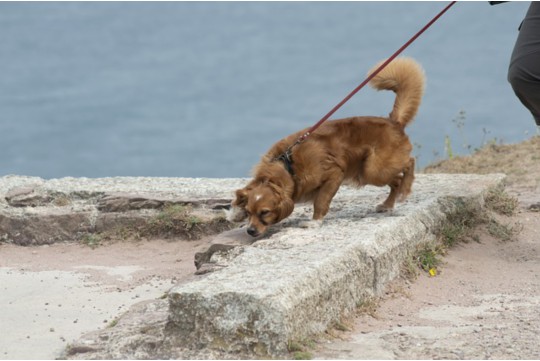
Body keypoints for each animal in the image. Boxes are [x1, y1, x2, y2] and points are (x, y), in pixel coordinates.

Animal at [228, 57, 426, 236]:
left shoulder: (334, 175)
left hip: (374, 169)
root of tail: (394, 122)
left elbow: (321, 201)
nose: (250, 231)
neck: (288, 167)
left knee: (409, 163)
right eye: (249, 212)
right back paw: (388, 205)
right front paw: (235, 211)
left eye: (265, 213)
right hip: (367, 172)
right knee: (396, 180)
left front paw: (315, 222)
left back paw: (405, 190)